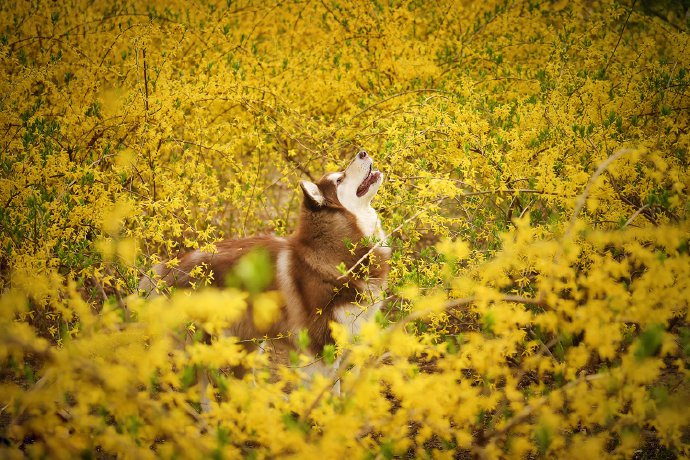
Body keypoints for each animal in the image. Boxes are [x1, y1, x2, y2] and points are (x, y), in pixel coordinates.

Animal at [140, 152, 390, 398]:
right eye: (339, 180)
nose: (363, 152)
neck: (334, 248)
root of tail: (171, 265)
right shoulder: (320, 349)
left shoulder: (354, 341)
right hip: (205, 345)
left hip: (248, 340)